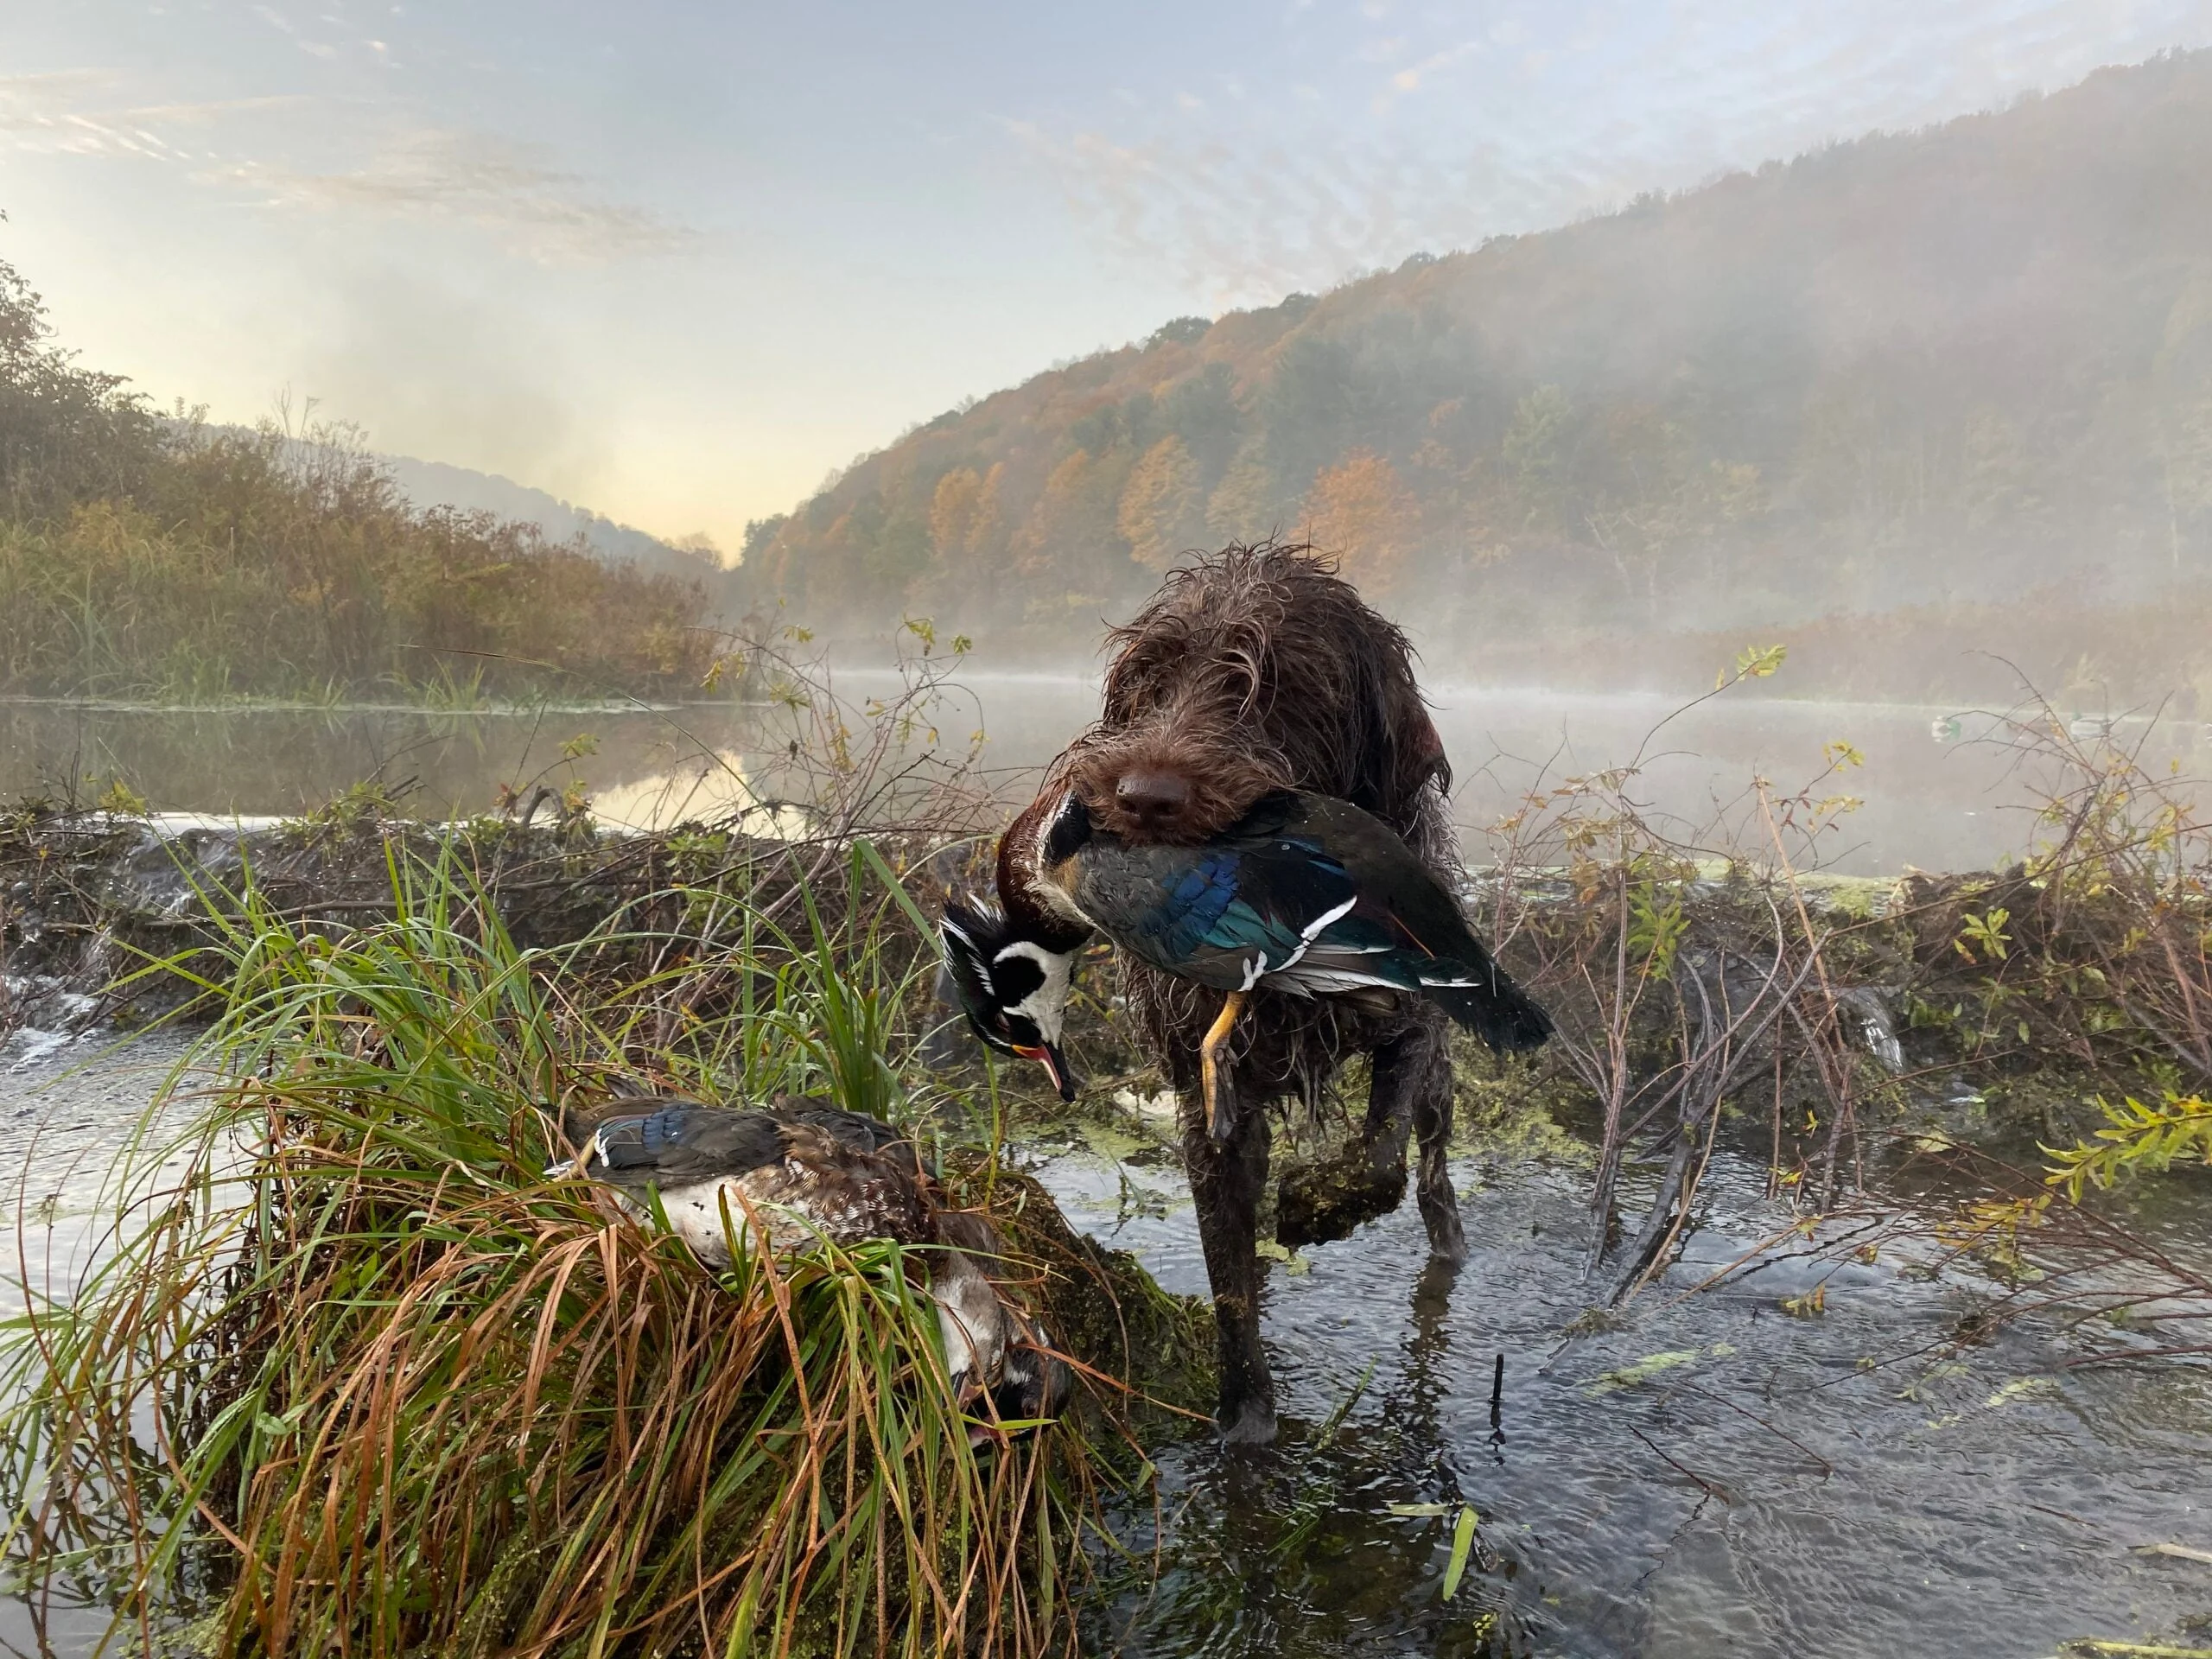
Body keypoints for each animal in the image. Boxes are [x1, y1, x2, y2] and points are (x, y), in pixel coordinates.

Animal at [1017, 542, 1486, 1442]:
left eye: (1281, 687)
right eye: (1147, 679)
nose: (1142, 798)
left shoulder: (1412, 1028)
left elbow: (1378, 1156)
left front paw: (1323, 1207)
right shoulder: (1207, 1102)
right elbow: (1229, 1275)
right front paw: (1245, 1424)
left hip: (1442, 1087)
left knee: (1434, 1173)